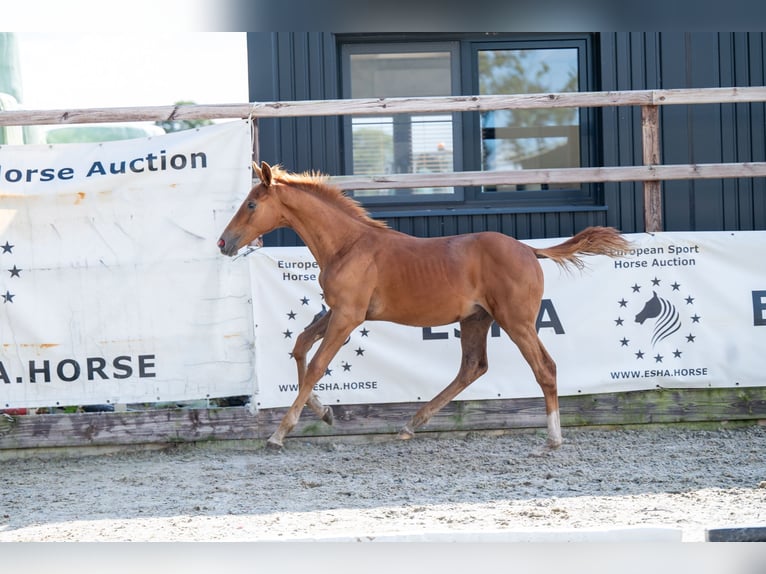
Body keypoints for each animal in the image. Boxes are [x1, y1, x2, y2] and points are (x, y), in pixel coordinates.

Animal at [219, 161, 632, 450]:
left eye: (251, 204)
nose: (224, 242)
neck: (349, 245)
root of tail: (530, 250)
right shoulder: (338, 312)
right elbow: (301, 346)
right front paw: (327, 414)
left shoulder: (348, 316)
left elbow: (318, 364)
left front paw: (279, 433)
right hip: (477, 319)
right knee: (472, 367)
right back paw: (411, 424)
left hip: (516, 321)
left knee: (544, 368)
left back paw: (554, 437)